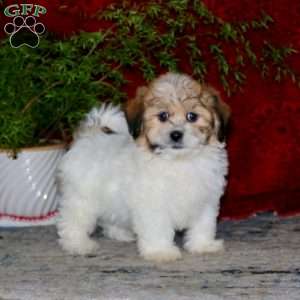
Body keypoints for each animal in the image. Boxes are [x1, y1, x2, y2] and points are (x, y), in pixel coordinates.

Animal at [56, 71, 230, 262]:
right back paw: (77, 243)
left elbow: (203, 224)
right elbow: (157, 227)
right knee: (74, 219)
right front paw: (161, 251)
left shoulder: (205, 200)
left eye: (192, 116)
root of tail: (88, 136)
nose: (176, 135)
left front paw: (203, 245)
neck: (179, 160)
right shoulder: (153, 202)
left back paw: (119, 234)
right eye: (163, 116)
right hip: (81, 196)